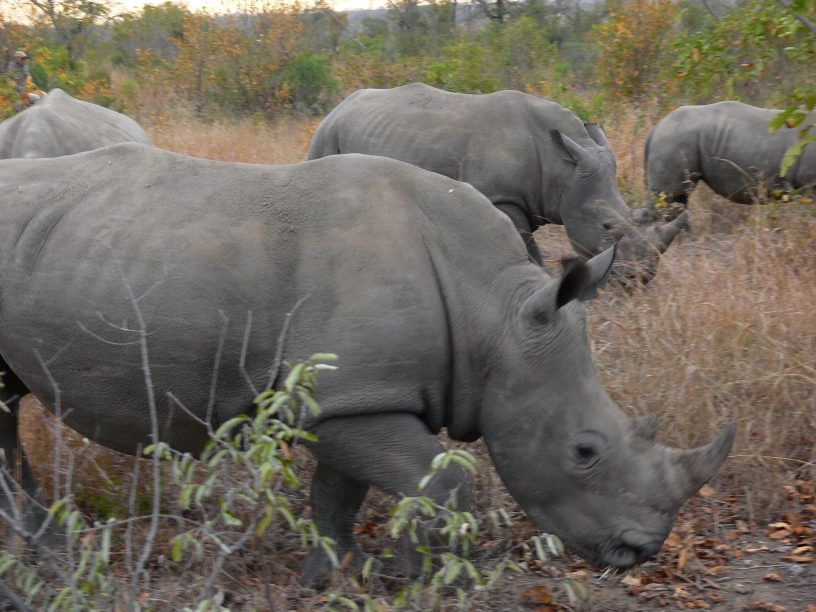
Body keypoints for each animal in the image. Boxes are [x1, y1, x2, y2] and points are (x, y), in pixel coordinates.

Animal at [0, 144, 733, 588]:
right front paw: (414, 577)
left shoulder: (353, 393)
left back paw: (49, 556)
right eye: (584, 451)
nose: (641, 552)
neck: (494, 312)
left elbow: (340, 491)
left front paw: (338, 573)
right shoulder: (347, 397)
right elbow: (441, 484)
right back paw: (57, 563)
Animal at [309, 82, 688, 283]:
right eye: (608, 226)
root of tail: (335, 109)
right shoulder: (502, 198)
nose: (641, 279)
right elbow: (526, 248)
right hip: (325, 136)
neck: (561, 168)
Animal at [636, 101, 816, 221]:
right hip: (673, 140)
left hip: (676, 140)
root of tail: (655, 128)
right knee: (666, 197)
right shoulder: (811, 184)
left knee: (678, 199)